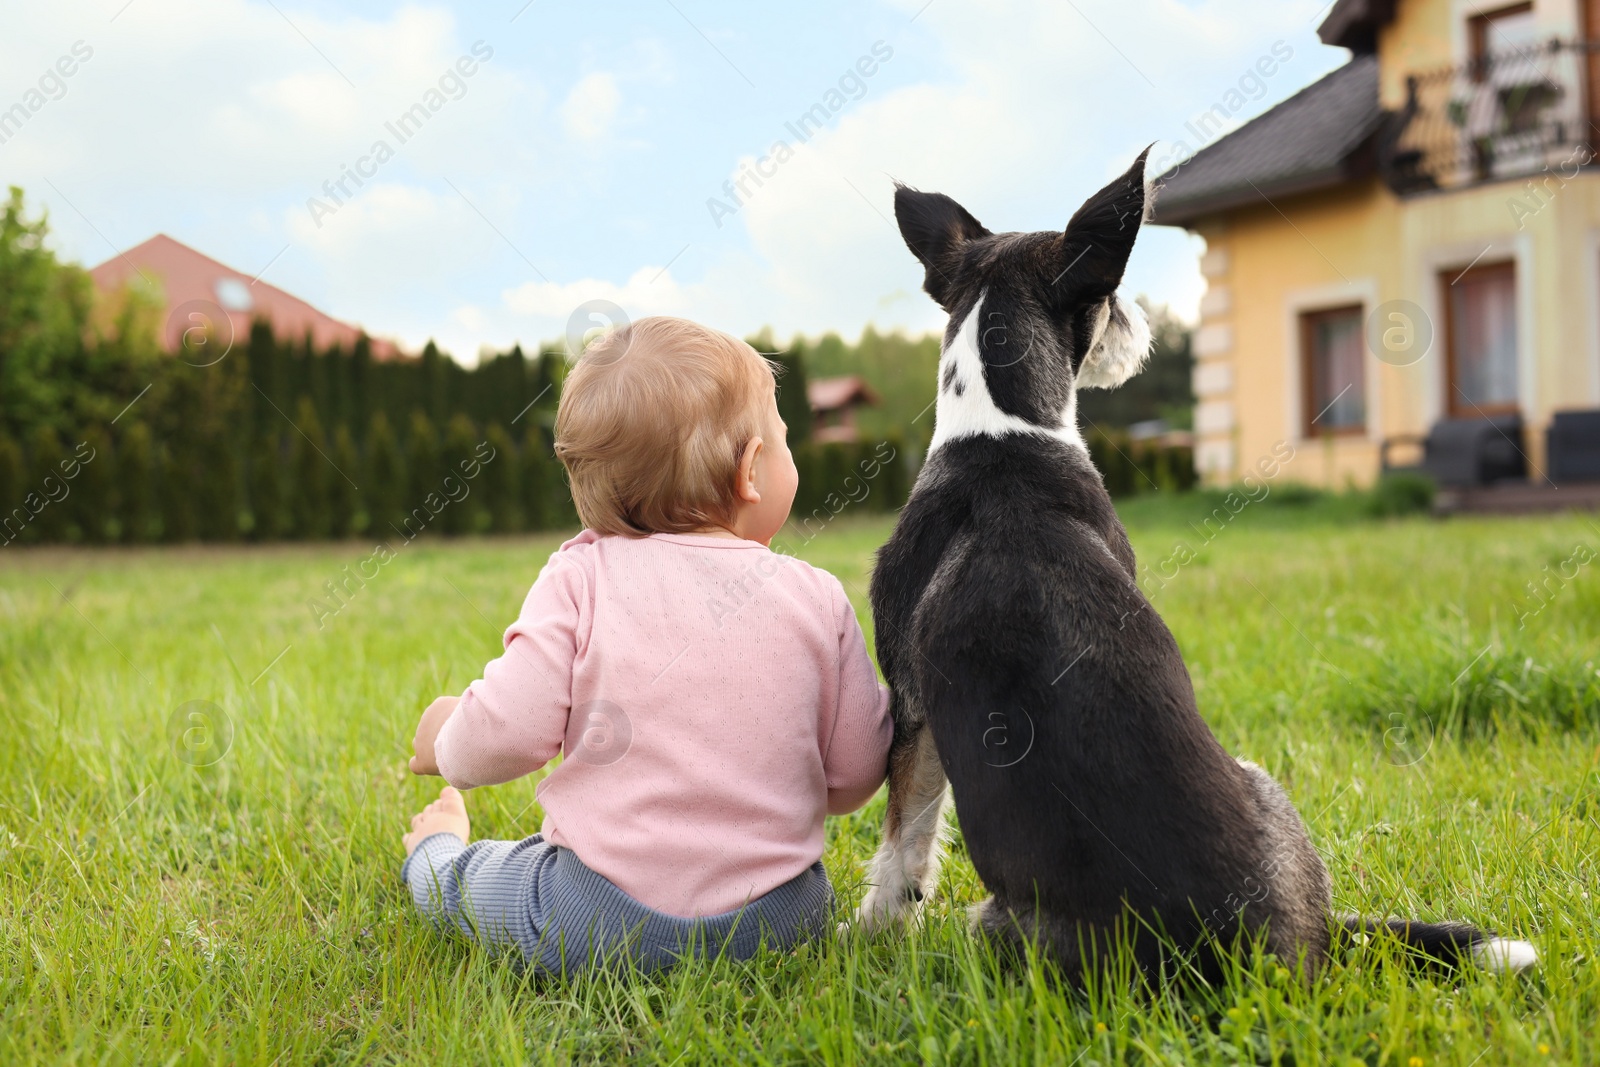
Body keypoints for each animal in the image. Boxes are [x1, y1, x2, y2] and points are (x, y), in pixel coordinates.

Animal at [851, 150, 1536, 985]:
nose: (1138, 324)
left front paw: (874, 931)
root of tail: (1263, 957)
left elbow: (904, 841)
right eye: (1110, 298)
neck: (1001, 429)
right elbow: (907, 838)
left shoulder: (912, 702)